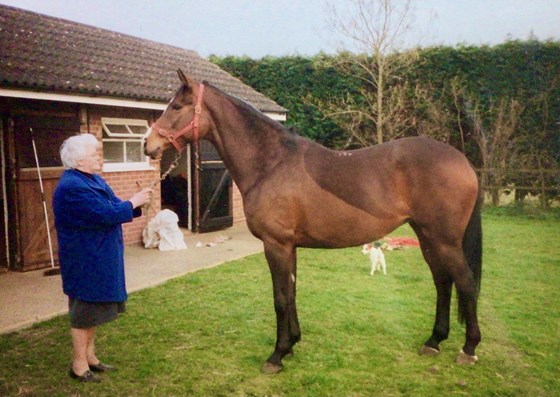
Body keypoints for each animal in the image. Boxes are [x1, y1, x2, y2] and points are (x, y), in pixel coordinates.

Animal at [143, 70, 482, 372]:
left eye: (176, 106)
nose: (148, 144)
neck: (271, 163)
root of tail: (463, 162)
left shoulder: (276, 245)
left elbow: (280, 297)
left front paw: (276, 355)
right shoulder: (289, 246)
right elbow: (292, 292)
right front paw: (292, 344)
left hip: (444, 240)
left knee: (465, 283)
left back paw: (468, 349)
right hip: (427, 237)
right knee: (443, 282)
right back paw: (434, 341)